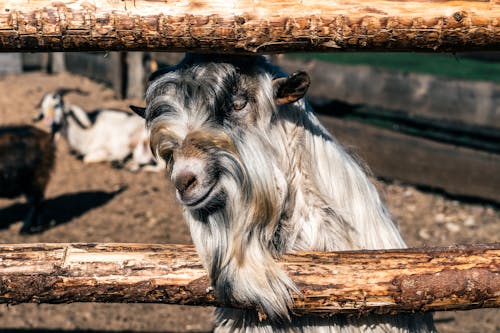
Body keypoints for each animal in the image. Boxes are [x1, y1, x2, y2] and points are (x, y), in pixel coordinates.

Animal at [34, 88, 162, 171]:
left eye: (57, 105)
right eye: (43, 108)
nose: (48, 122)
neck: (86, 133)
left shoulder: (103, 149)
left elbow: (86, 158)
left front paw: (113, 158)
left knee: (156, 166)